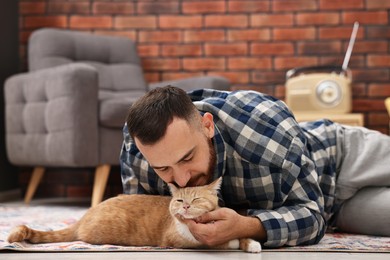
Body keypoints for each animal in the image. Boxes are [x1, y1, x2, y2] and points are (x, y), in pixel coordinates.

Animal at [6, 178, 262, 253]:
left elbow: (241, 233)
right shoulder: (177, 240)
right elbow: (217, 242)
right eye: (180, 200)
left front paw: (250, 243)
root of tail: (86, 215)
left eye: (197, 199)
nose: (187, 207)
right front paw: (233, 242)